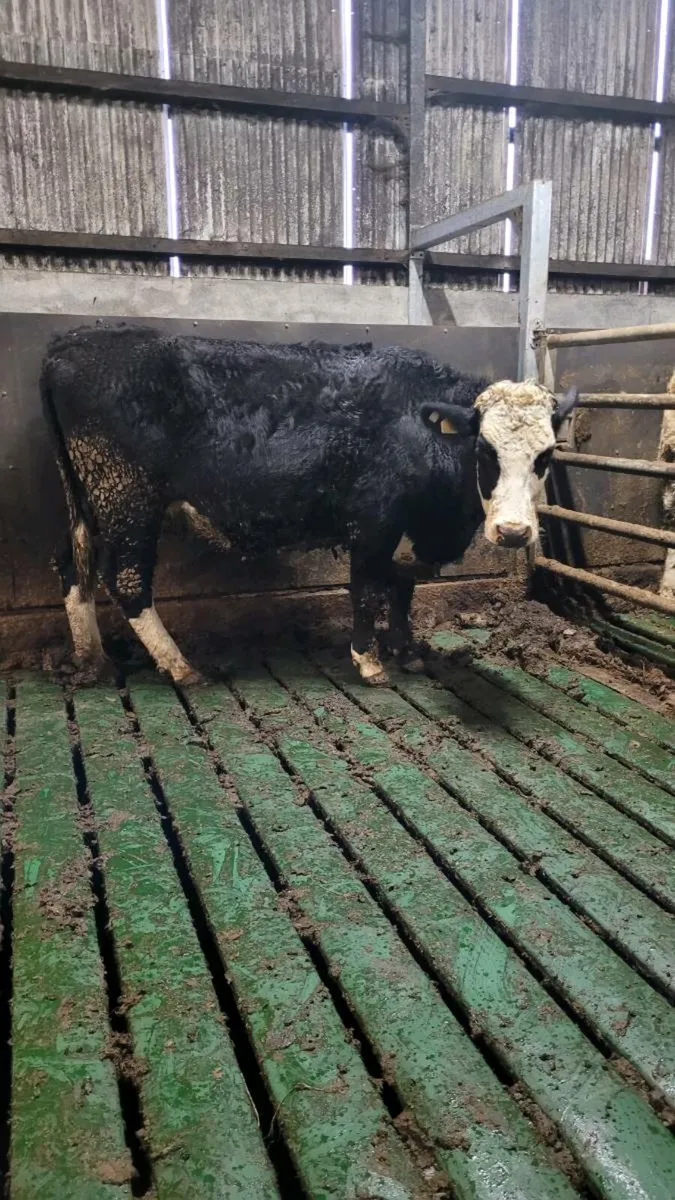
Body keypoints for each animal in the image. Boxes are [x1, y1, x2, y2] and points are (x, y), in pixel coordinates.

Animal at [40, 324, 577, 685]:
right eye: (484, 451)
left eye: (546, 455)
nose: (514, 532)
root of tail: (74, 341)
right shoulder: (373, 523)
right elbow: (366, 590)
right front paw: (369, 660)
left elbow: (403, 589)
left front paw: (406, 651)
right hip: (127, 500)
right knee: (127, 581)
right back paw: (180, 666)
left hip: (90, 504)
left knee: (72, 567)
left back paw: (91, 659)